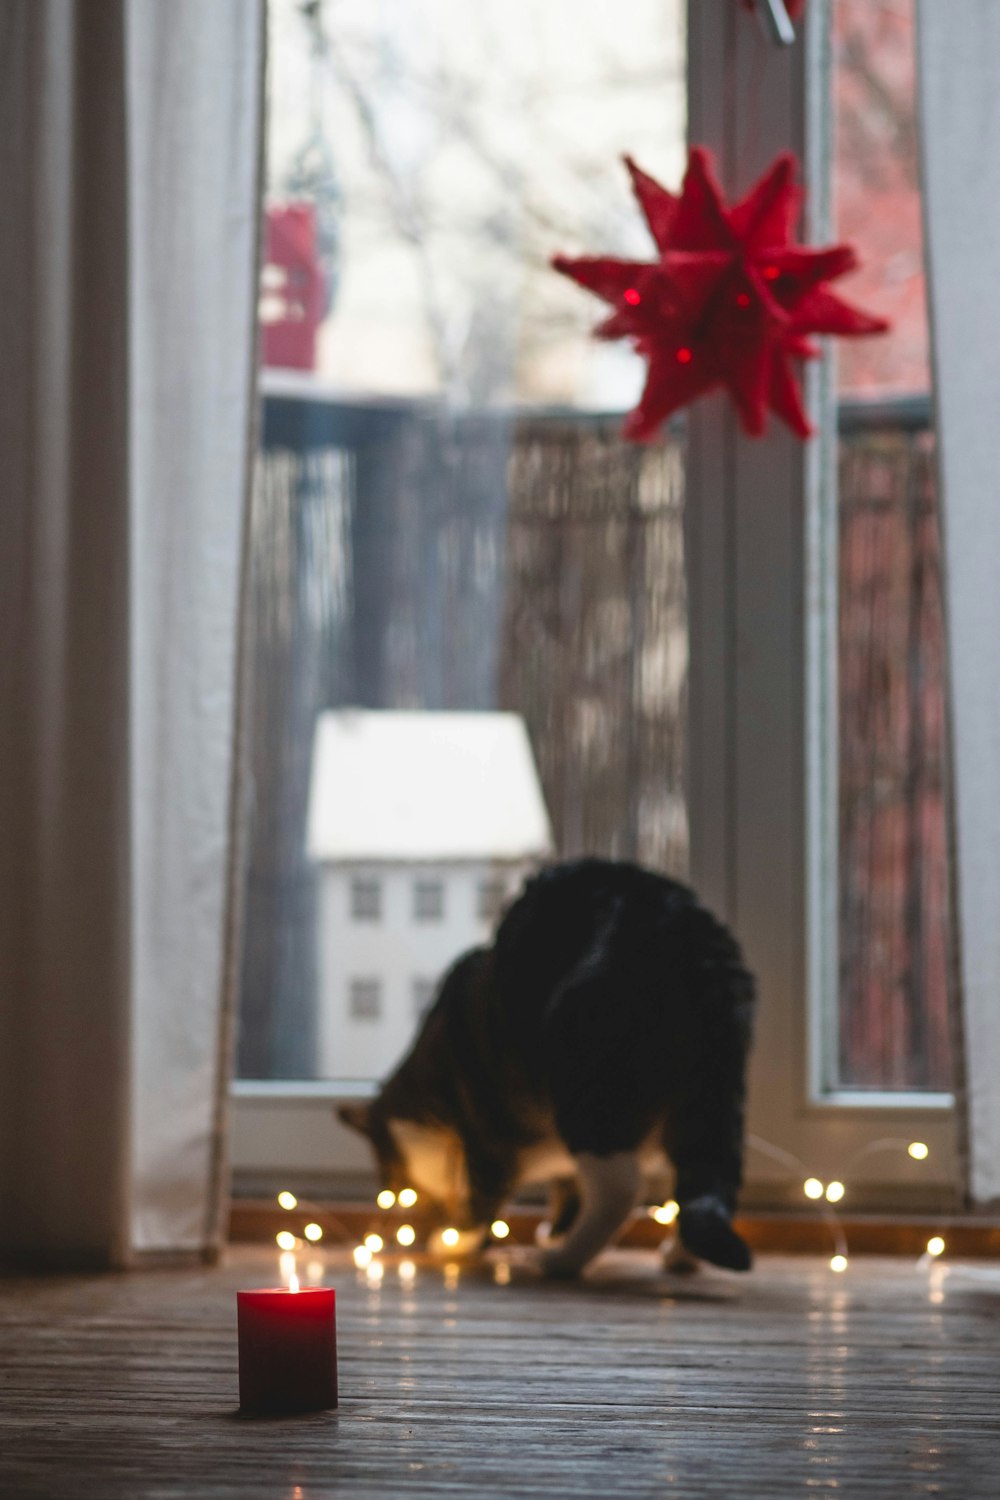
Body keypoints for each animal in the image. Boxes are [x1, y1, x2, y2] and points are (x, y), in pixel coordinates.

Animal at [340, 864, 755, 1272]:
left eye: (406, 1194)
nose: (426, 1220)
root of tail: (690, 931)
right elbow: (567, 1187)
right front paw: (555, 1228)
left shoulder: (484, 1132)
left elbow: (483, 1195)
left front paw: (456, 1242)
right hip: (704, 1100)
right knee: (700, 1174)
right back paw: (678, 1254)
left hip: (585, 1090)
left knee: (621, 1189)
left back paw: (563, 1260)